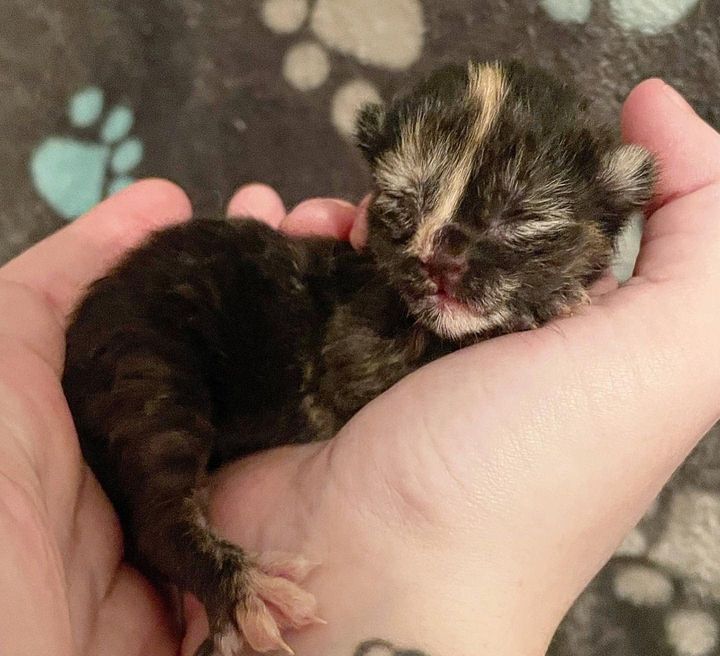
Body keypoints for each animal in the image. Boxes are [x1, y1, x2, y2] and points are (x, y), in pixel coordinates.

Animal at [64, 59, 656, 652]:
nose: (440, 261)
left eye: (519, 217)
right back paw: (237, 585)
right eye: (405, 205)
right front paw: (542, 306)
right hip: (144, 363)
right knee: (155, 514)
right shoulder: (349, 359)